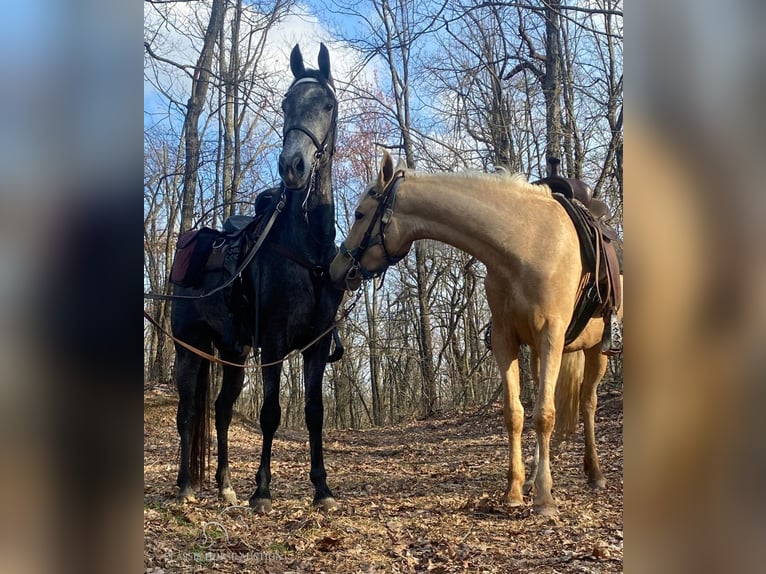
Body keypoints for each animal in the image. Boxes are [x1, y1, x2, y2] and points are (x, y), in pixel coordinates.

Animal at [174, 46, 344, 512]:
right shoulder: (274, 340)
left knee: (220, 410)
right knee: (186, 412)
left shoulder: (316, 343)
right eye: (286, 104)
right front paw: (263, 490)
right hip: (190, 348)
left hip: (232, 353)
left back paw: (224, 484)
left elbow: (314, 413)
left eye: (327, 104)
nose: (293, 166)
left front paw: (321, 489)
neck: (307, 248)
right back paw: (185, 485)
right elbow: (271, 413)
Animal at [330, 151, 624, 516]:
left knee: (587, 404)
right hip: (542, 354)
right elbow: (515, 413)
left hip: (597, 350)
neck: (526, 245)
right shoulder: (506, 340)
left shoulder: (551, 337)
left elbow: (544, 415)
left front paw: (544, 499)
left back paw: (594, 474)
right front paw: (514, 491)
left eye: (360, 214)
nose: (336, 271)